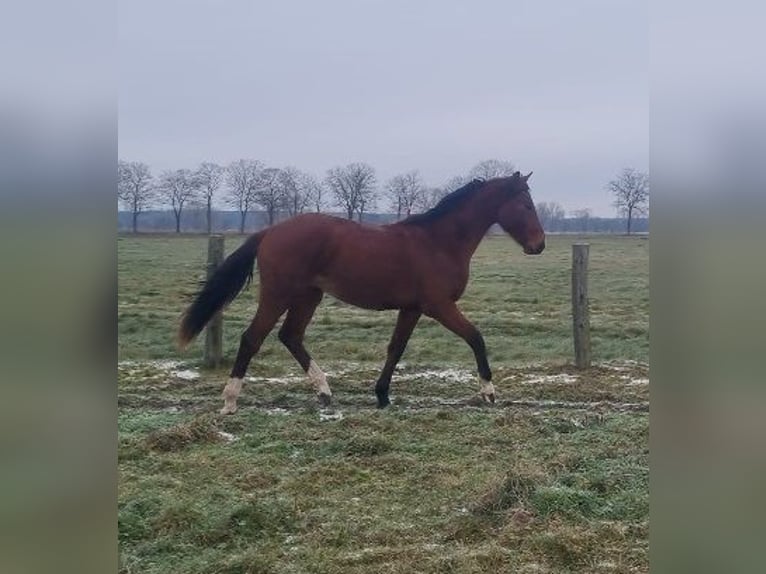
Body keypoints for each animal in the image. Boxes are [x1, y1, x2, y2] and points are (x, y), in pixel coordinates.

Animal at [178, 171, 544, 414]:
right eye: (526, 204)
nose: (539, 245)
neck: (438, 242)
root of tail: (270, 231)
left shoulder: (412, 308)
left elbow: (396, 349)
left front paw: (382, 395)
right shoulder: (439, 306)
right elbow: (476, 338)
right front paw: (489, 392)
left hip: (309, 296)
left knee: (290, 336)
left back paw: (324, 392)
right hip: (278, 294)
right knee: (252, 338)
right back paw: (230, 401)